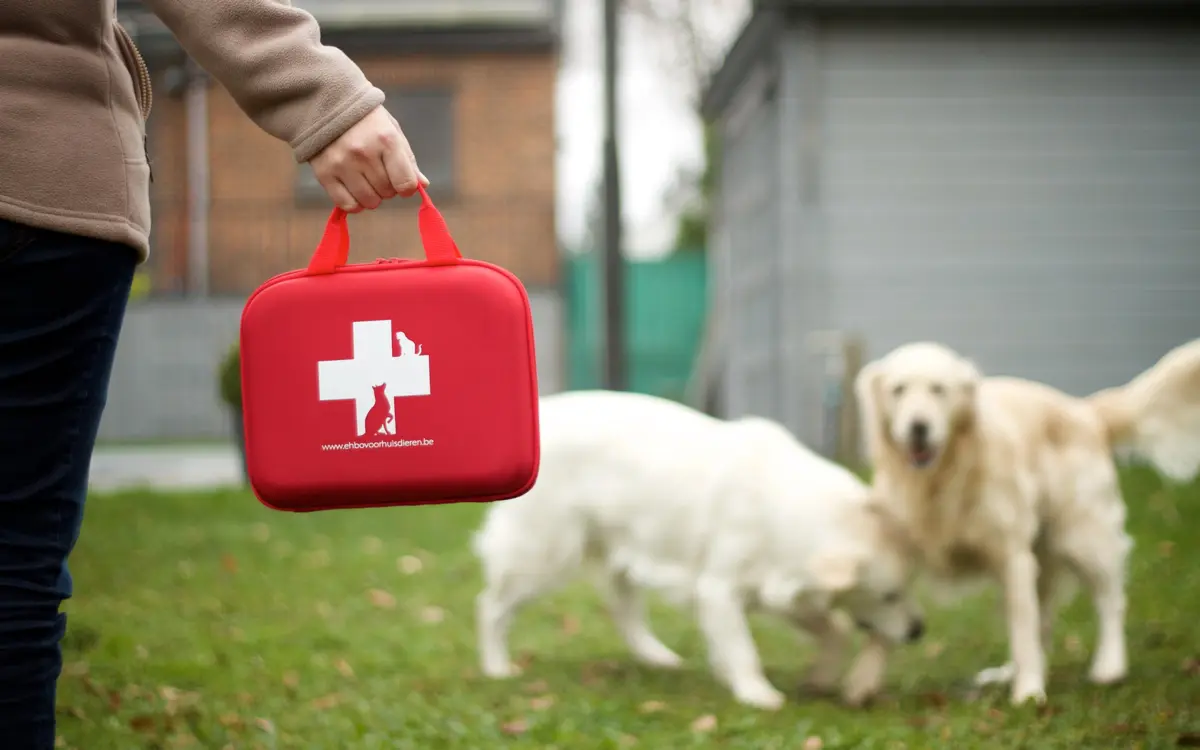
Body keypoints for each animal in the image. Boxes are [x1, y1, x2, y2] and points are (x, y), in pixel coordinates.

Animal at [472, 388, 921, 710]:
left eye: (908, 590)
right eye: (889, 595)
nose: (919, 631)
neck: (781, 506)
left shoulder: (784, 592)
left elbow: (835, 631)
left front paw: (821, 677)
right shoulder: (719, 590)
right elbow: (743, 649)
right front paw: (755, 692)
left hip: (619, 555)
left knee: (624, 612)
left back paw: (657, 657)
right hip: (543, 557)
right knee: (491, 608)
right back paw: (496, 667)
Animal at [854, 336, 1200, 705]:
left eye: (939, 390)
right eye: (898, 390)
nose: (918, 427)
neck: (938, 480)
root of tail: (1085, 411)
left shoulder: (1013, 557)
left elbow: (1023, 631)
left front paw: (1030, 692)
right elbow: (886, 613)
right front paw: (864, 679)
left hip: (1081, 537)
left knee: (1109, 600)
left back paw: (1109, 665)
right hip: (1043, 559)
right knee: (1043, 621)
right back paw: (1008, 673)